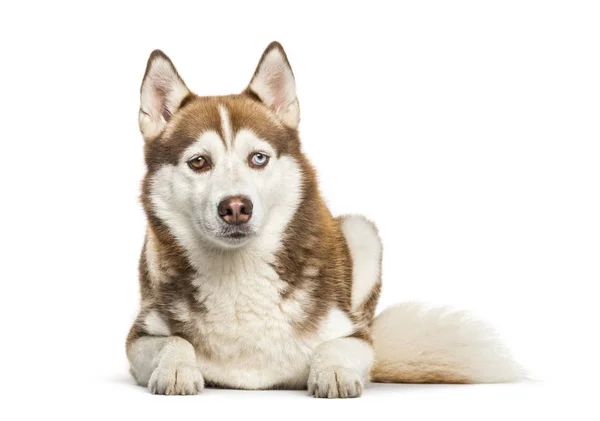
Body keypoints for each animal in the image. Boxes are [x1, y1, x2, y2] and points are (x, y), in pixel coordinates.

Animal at [126, 41, 520, 396]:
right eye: (199, 162)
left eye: (258, 158)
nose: (236, 206)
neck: (238, 273)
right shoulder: (138, 338)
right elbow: (175, 341)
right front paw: (176, 368)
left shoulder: (356, 337)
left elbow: (334, 346)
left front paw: (333, 372)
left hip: (361, 232)